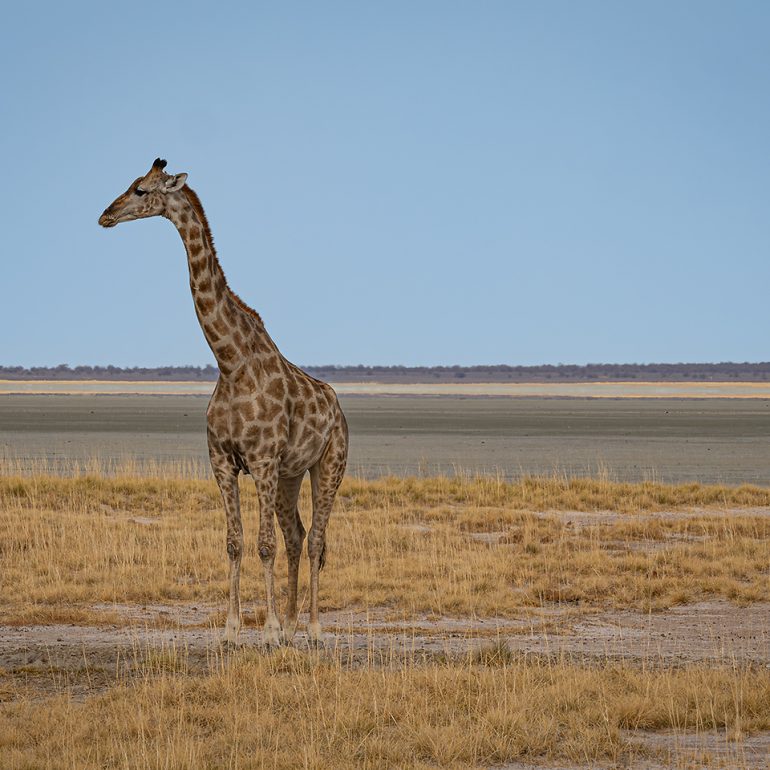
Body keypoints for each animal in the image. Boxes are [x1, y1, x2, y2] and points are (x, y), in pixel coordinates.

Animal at [98, 158, 348, 647]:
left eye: (140, 190)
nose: (106, 215)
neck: (230, 361)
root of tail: (339, 410)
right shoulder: (222, 461)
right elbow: (235, 542)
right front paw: (233, 629)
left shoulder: (263, 460)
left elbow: (264, 545)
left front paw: (268, 630)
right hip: (291, 474)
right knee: (297, 534)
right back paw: (294, 625)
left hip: (328, 464)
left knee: (315, 540)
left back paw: (310, 628)